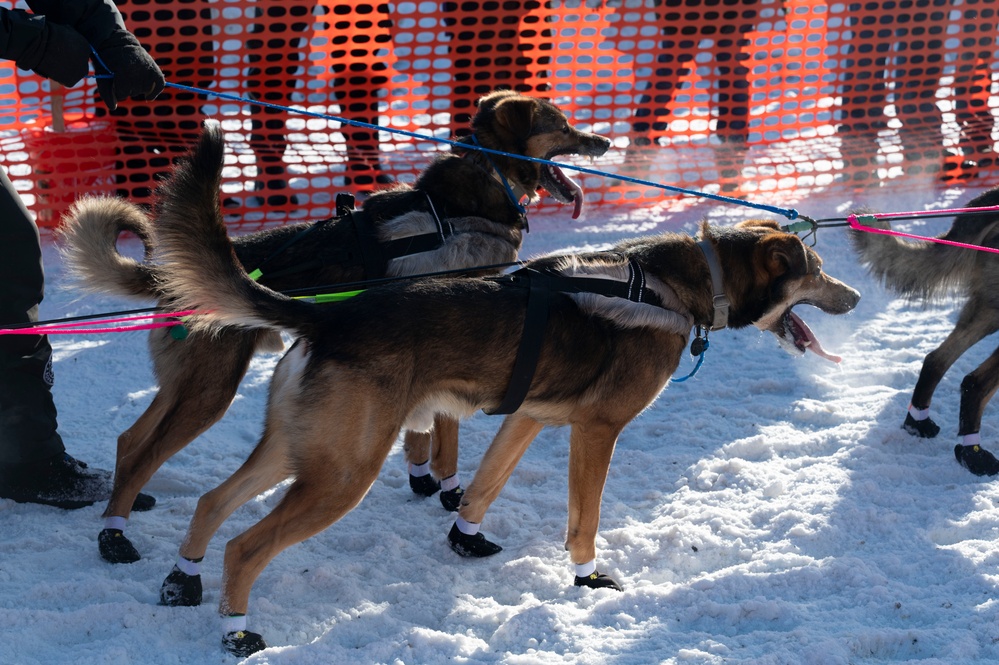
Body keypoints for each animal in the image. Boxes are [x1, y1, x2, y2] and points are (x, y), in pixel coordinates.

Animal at [58, 91, 612, 564]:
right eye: (563, 124)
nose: (603, 142)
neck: (472, 198)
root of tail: (167, 274)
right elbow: (446, 432)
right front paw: (450, 489)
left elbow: (423, 430)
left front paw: (422, 477)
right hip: (210, 392)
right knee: (143, 454)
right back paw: (114, 537)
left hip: (188, 385)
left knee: (130, 441)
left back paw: (127, 504)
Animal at [148, 130, 860, 652]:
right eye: (817, 271)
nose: (853, 296)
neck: (671, 286)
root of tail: (329, 317)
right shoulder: (596, 431)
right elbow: (583, 521)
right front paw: (587, 576)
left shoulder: (530, 418)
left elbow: (483, 484)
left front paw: (466, 535)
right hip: (342, 474)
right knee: (244, 546)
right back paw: (236, 631)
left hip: (300, 451)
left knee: (212, 503)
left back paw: (183, 578)